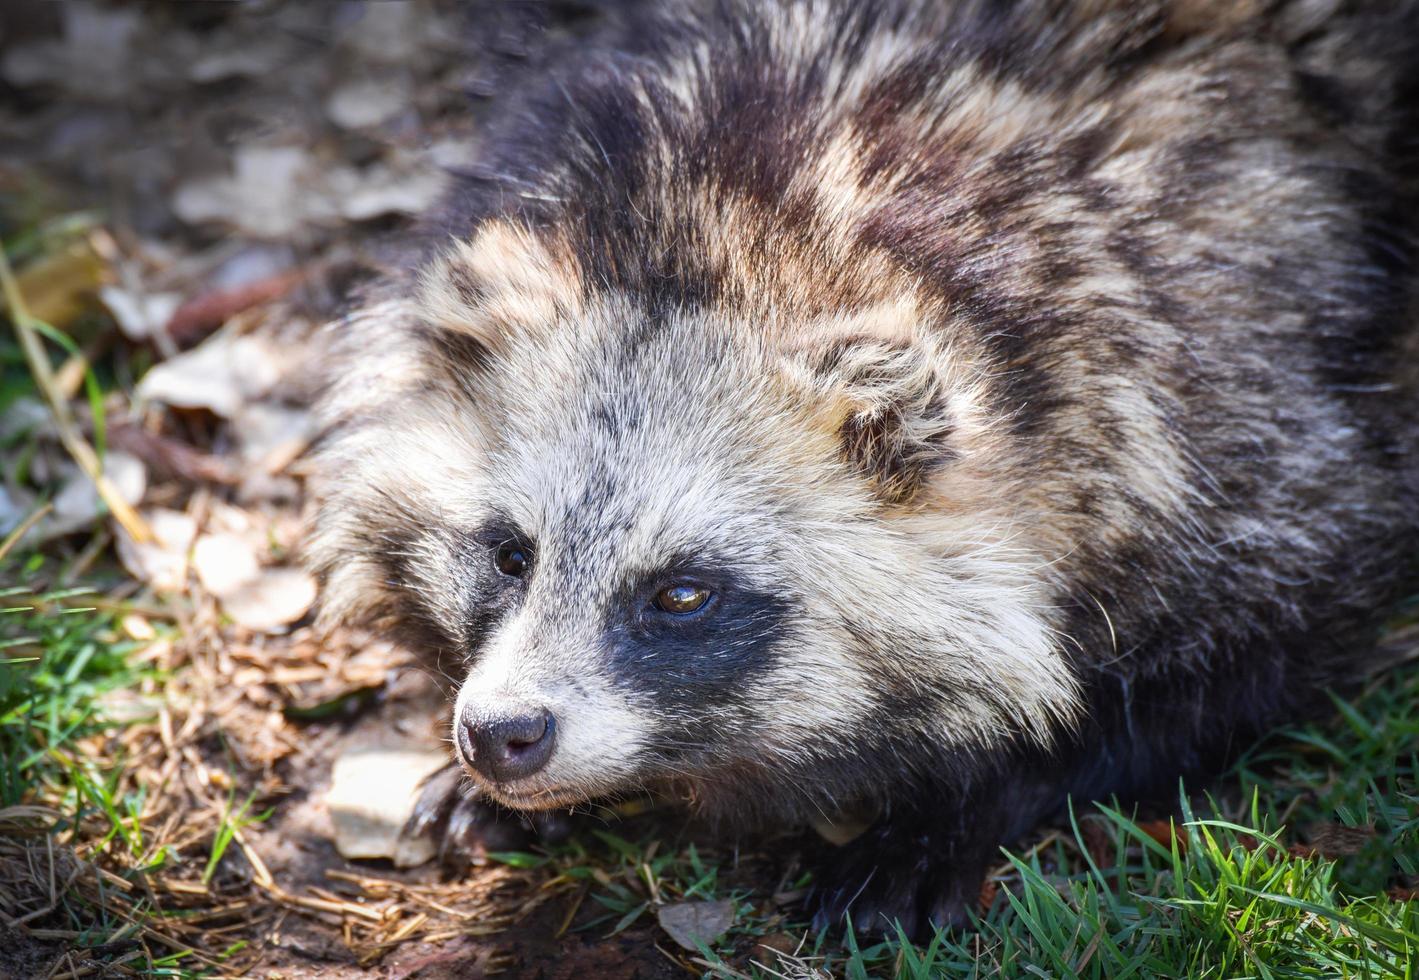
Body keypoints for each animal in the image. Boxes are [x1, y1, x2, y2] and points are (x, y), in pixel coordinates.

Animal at [313, 0, 1419, 936]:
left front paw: (967, 794)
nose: (500, 732)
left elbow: (1261, 636)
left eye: (682, 593)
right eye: (510, 555)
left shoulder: (1224, 400)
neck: (738, 226)